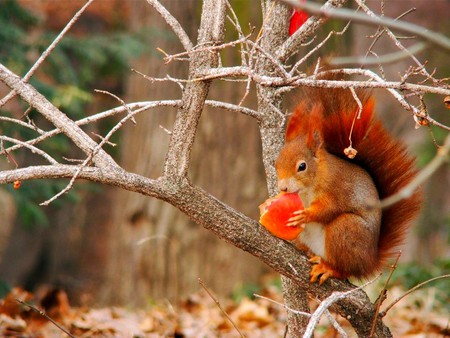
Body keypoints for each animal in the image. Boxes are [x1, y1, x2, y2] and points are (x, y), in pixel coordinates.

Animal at [276, 80, 424, 284]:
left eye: (302, 166)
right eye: (276, 163)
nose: (283, 188)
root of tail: (369, 262)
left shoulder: (338, 187)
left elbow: (329, 208)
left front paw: (306, 214)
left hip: (346, 230)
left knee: (345, 269)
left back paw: (329, 268)